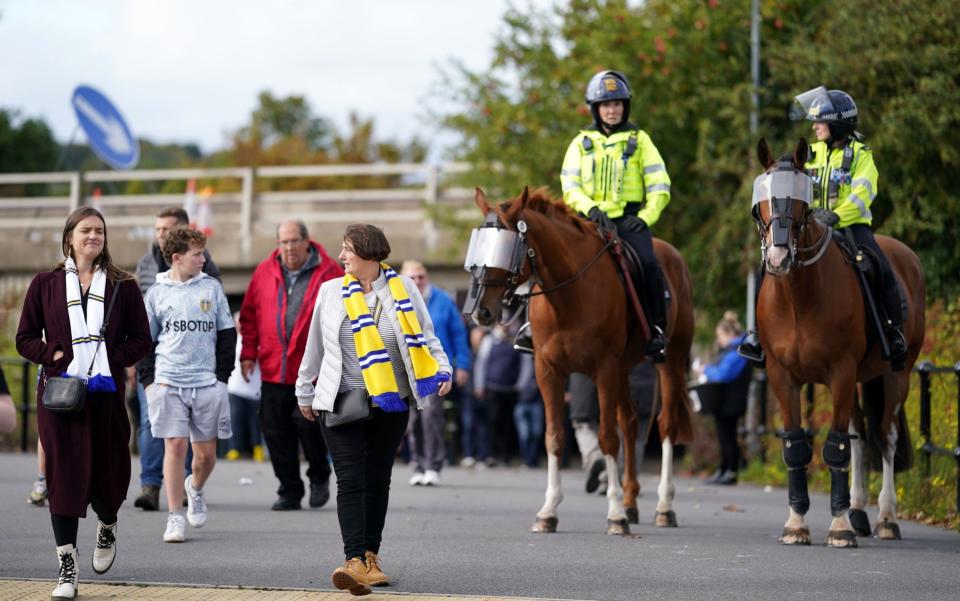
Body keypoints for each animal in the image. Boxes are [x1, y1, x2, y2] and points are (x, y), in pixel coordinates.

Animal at [464, 185, 692, 532]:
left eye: (508, 249)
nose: (482, 312)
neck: (568, 296)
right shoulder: (548, 371)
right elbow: (554, 437)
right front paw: (548, 511)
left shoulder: (604, 369)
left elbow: (607, 438)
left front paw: (615, 515)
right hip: (624, 369)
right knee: (629, 423)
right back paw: (631, 500)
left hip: (670, 361)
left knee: (665, 425)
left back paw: (663, 507)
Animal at [752, 138, 928, 548]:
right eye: (762, 200)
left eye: (800, 201)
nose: (779, 258)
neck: (799, 297)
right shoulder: (783, 377)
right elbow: (797, 446)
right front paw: (797, 523)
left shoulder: (842, 372)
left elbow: (835, 448)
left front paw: (839, 527)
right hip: (864, 379)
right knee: (861, 437)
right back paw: (859, 512)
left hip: (896, 375)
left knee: (885, 437)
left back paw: (885, 518)